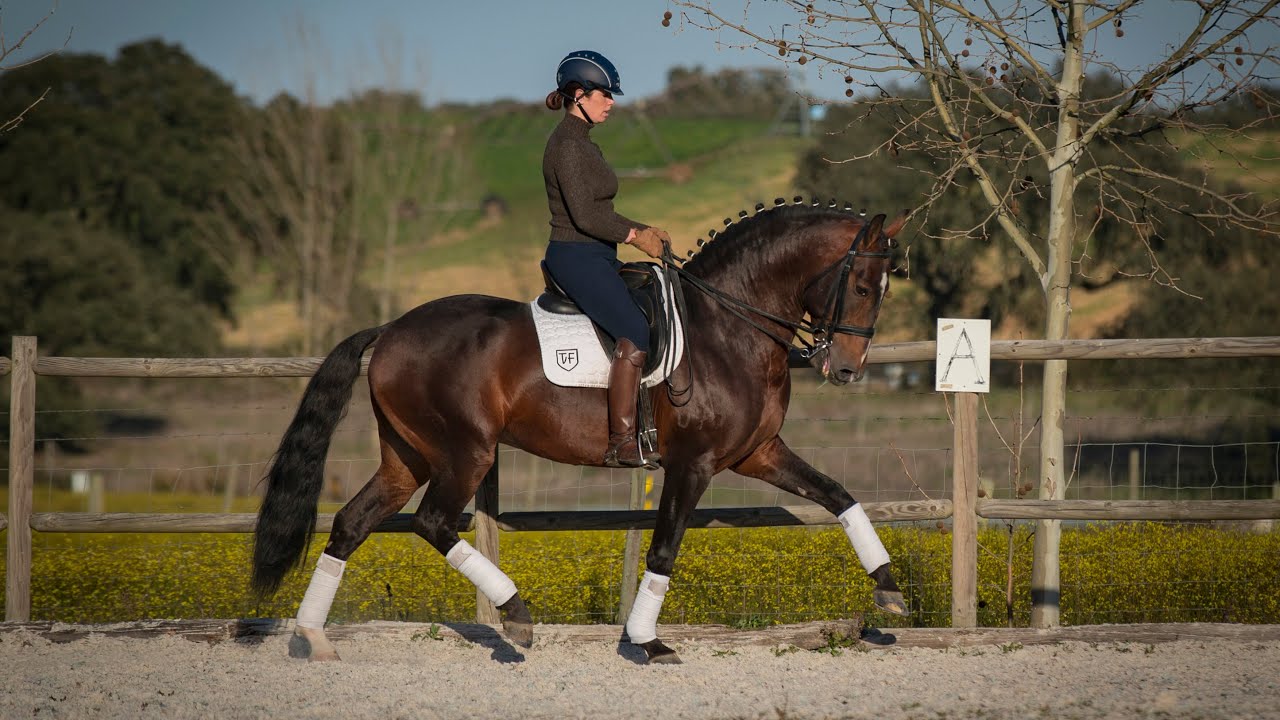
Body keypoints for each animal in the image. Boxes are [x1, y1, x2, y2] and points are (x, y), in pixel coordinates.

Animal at [252, 200, 910, 665]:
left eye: (883, 289)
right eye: (859, 286)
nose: (846, 369)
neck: (731, 325)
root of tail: (390, 330)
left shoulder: (758, 453)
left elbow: (839, 495)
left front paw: (889, 588)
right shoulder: (693, 464)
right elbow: (664, 548)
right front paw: (646, 640)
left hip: (407, 456)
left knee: (351, 522)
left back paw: (313, 638)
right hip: (464, 452)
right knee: (431, 522)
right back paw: (517, 614)